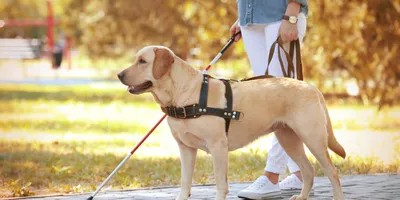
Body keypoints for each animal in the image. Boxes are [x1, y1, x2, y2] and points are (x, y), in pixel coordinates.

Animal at [117, 45, 346, 200]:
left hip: (312, 138)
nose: (119, 74)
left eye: (142, 61)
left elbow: (220, 184)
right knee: (309, 170)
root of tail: (311, 87)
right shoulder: (186, 148)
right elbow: (184, 182)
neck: (184, 95)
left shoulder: (218, 147)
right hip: (288, 138)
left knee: (332, 171)